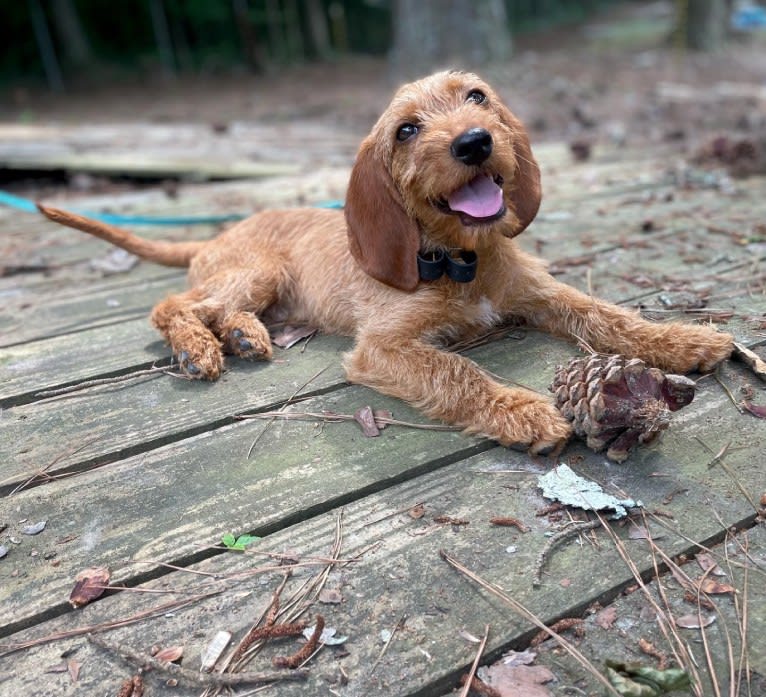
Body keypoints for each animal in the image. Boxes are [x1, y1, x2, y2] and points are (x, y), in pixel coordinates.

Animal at [39, 70, 736, 452]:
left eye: (477, 97)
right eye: (406, 130)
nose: (475, 141)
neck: (459, 258)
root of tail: (218, 233)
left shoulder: (542, 294)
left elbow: (607, 314)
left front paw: (681, 339)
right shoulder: (384, 346)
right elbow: (456, 371)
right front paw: (520, 409)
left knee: (219, 308)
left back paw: (241, 335)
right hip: (258, 271)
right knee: (174, 304)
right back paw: (199, 345)